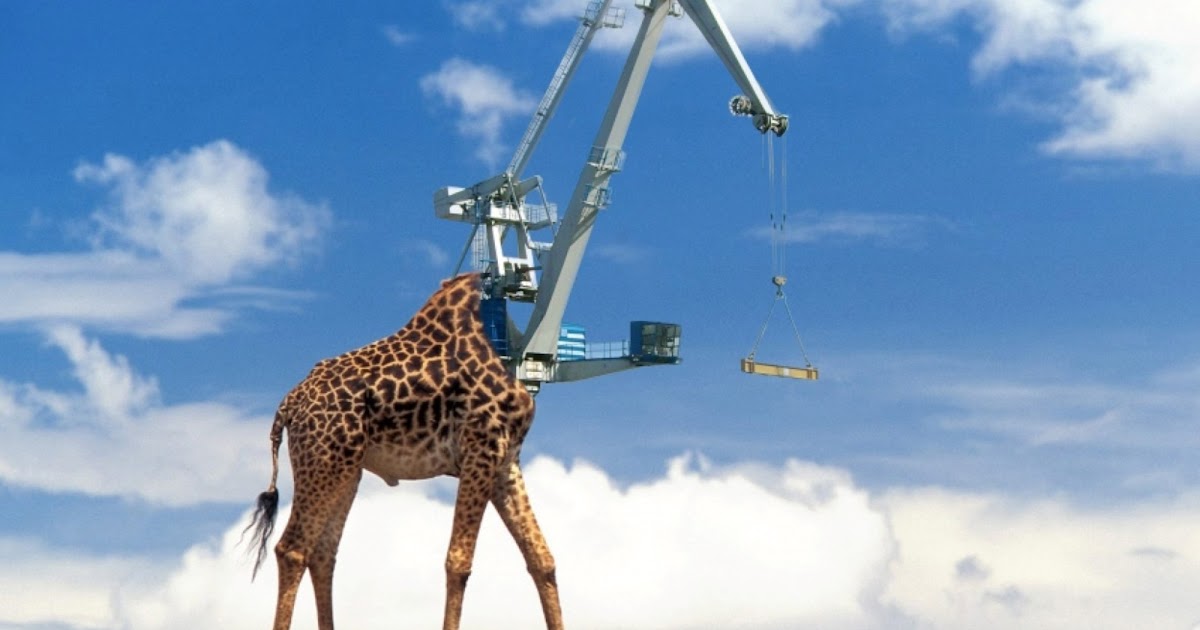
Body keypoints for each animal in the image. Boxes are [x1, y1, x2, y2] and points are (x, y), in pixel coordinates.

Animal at [244, 272, 563, 630]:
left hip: (344, 470)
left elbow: (542, 559)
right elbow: (459, 561)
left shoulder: (505, 462)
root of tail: (288, 405)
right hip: (324, 461)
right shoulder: (480, 449)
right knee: (292, 549)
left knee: (323, 552)